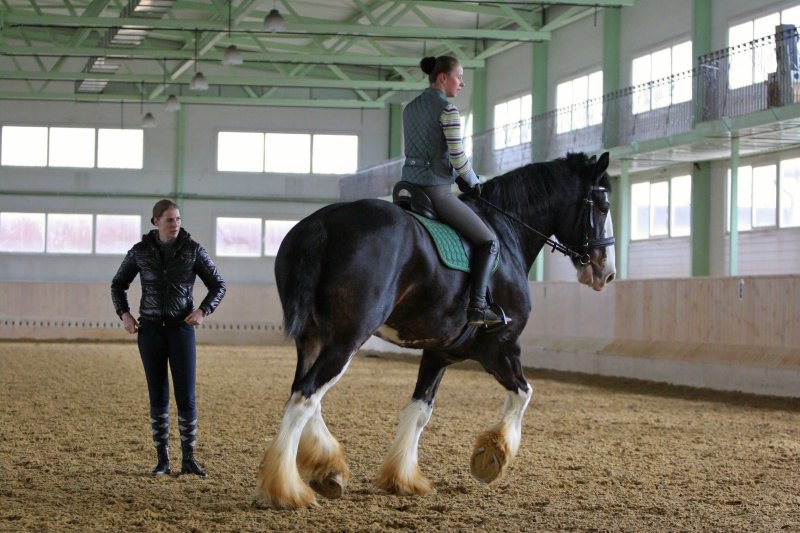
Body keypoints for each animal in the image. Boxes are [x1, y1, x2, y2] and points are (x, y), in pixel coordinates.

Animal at [258, 150, 620, 508]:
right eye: (603, 206)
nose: (607, 273)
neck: (507, 234)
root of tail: (323, 222)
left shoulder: (439, 352)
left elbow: (420, 410)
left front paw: (402, 478)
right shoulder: (501, 345)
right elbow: (523, 394)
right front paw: (491, 457)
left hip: (313, 338)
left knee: (303, 391)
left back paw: (327, 469)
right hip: (347, 339)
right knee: (305, 397)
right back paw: (286, 489)